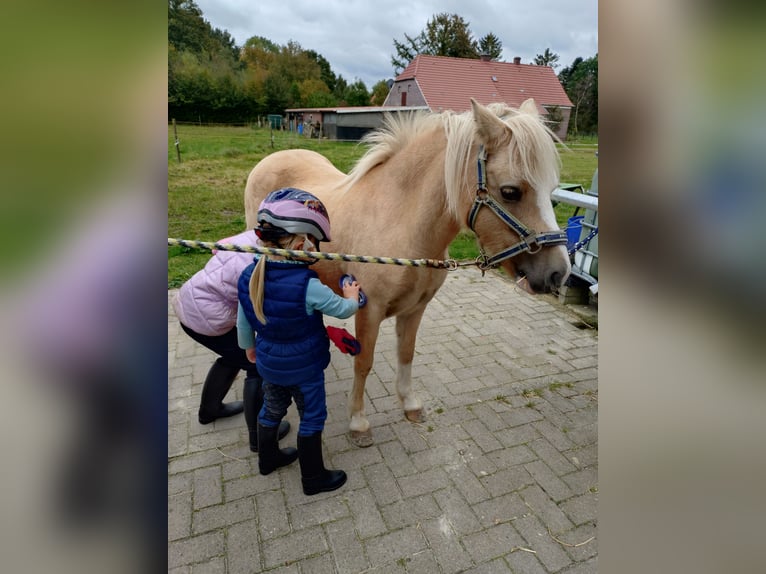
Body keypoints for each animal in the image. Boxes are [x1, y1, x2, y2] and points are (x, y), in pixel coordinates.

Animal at [244, 99, 568, 450]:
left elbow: (407, 353)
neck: (402, 223)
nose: (558, 273)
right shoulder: (368, 310)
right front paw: (359, 422)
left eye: (552, 191)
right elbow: (364, 362)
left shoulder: (415, 309)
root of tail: (273, 158)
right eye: (510, 191)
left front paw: (410, 404)